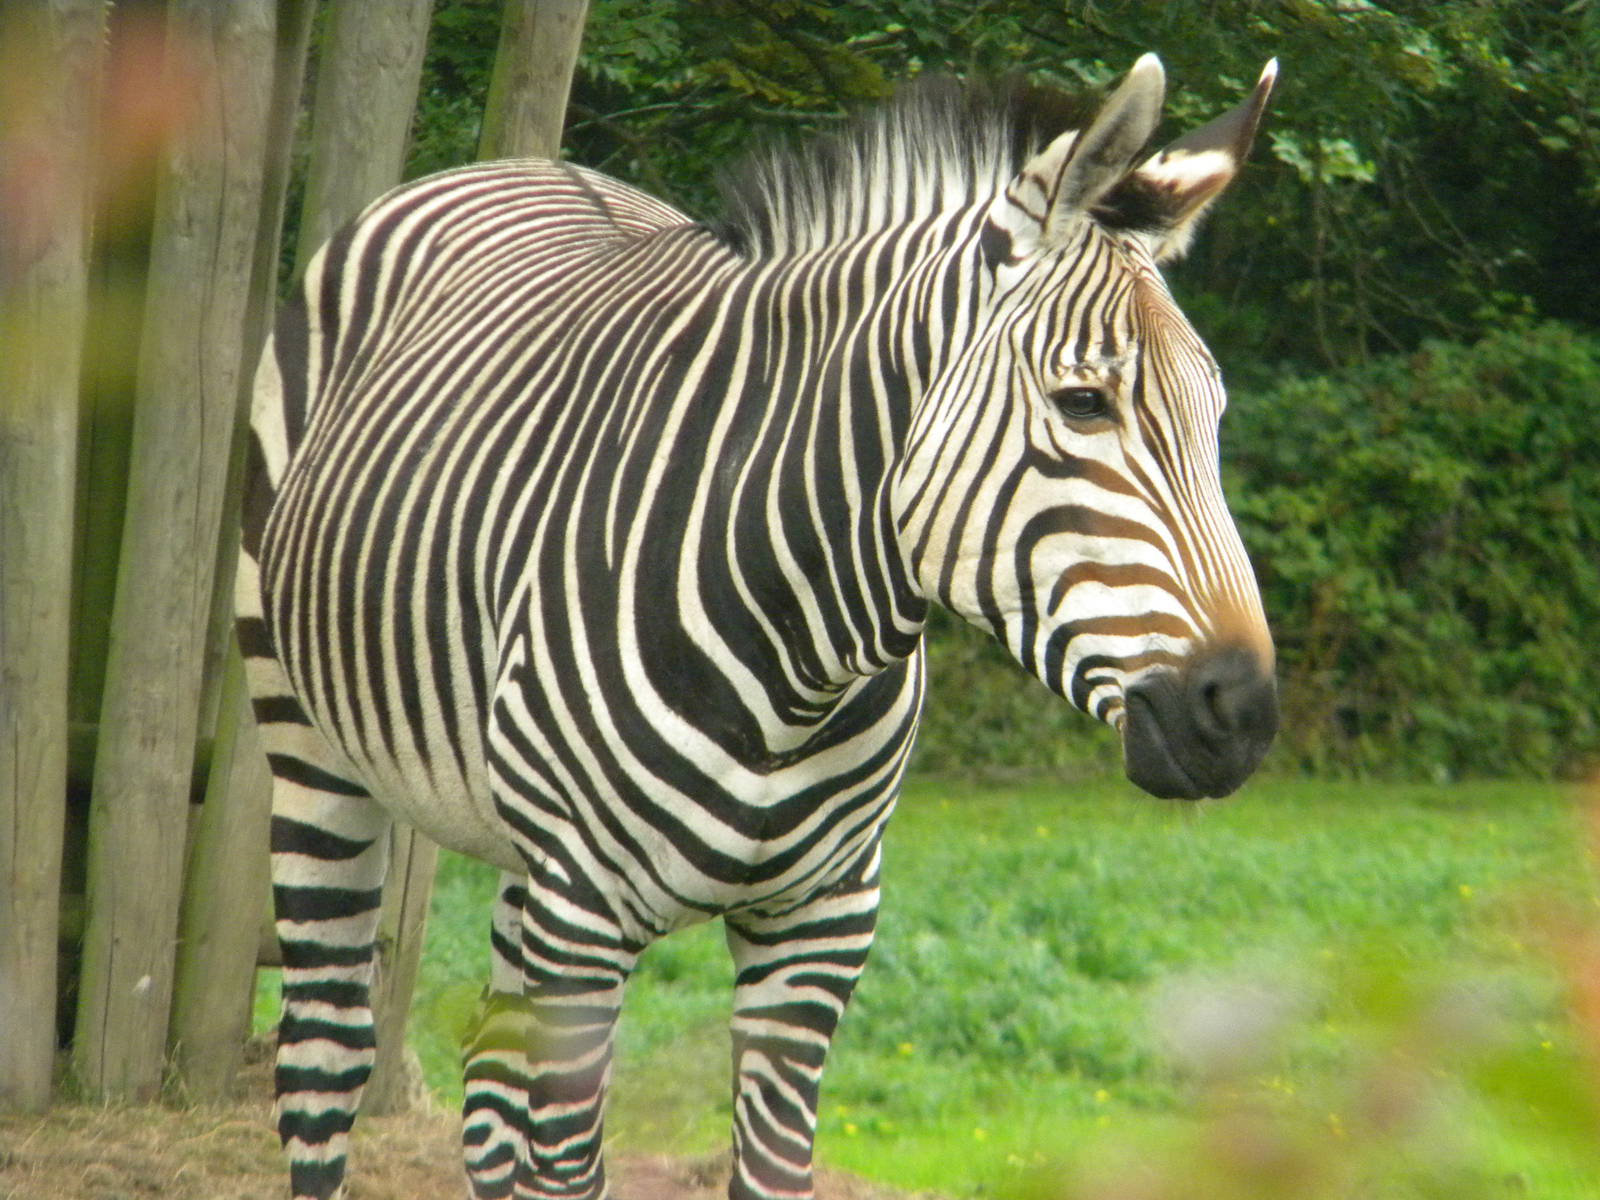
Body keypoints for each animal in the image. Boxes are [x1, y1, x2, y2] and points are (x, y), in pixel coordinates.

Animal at [239, 53, 1279, 1200]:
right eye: (1084, 402)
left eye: (1217, 416)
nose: (1240, 714)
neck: (801, 663)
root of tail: (501, 167)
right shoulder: (586, 923)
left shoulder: (820, 926)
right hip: (311, 747)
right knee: (324, 1054)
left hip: (525, 852)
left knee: (488, 1078)